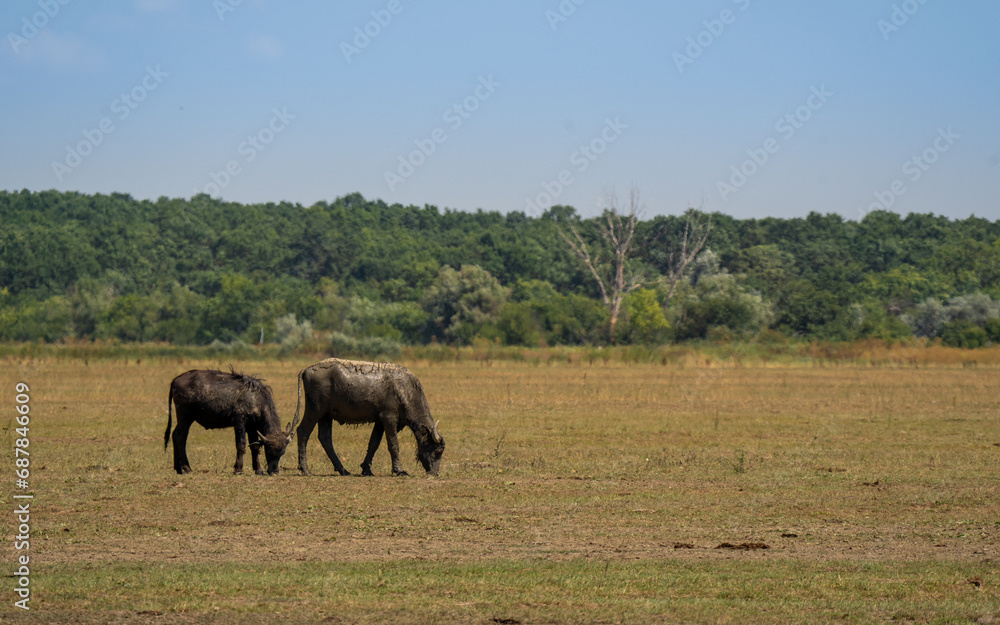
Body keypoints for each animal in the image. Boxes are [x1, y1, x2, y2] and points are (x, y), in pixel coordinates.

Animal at [292, 358, 444, 476]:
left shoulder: (380, 422)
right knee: (303, 432)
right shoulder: (389, 419)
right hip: (314, 410)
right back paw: (305, 469)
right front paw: (399, 470)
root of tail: (307, 369)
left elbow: (373, 444)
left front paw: (366, 469)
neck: (404, 390)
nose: (435, 473)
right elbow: (393, 444)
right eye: (437, 451)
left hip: (326, 415)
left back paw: (343, 470)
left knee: (325, 438)